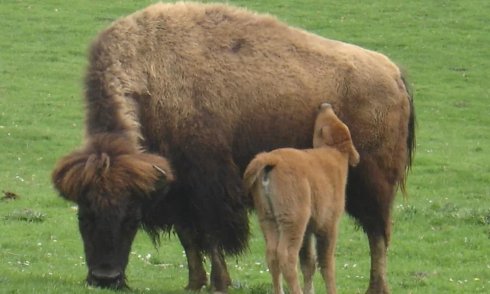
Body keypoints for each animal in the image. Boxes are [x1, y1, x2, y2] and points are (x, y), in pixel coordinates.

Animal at [245, 103, 360, 294]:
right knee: (287, 256)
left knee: (272, 255)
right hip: (293, 221)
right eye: (321, 128)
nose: (324, 105)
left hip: (267, 218)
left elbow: (308, 263)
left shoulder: (307, 231)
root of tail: (271, 159)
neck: (334, 153)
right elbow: (326, 263)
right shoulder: (328, 225)